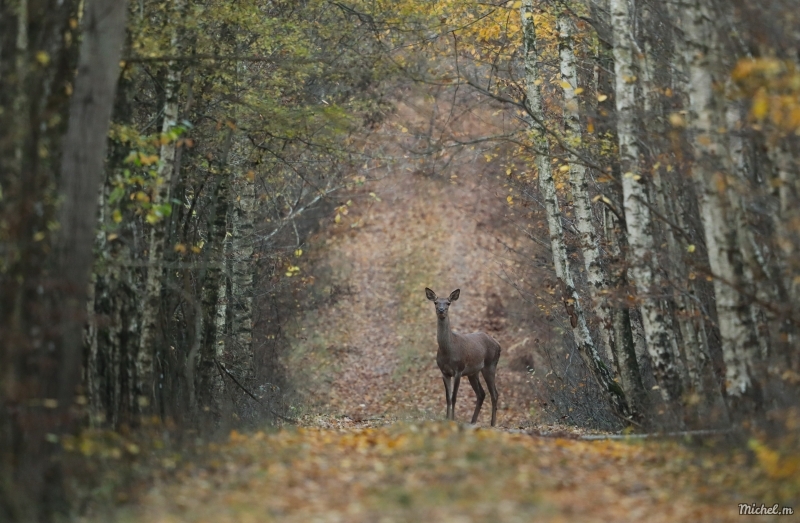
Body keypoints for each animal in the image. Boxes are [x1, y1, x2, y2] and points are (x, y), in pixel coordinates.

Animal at [424, 288, 500, 428]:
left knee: (494, 393)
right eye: (436, 302)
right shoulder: (444, 372)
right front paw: (447, 419)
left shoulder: (458, 369)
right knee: (481, 394)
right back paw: (473, 421)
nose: (441, 310)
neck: (448, 351)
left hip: (490, 365)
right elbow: (448, 397)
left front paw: (453, 419)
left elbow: (454, 397)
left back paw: (492, 424)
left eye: (448, 303)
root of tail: (498, 344)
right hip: (473, 372)